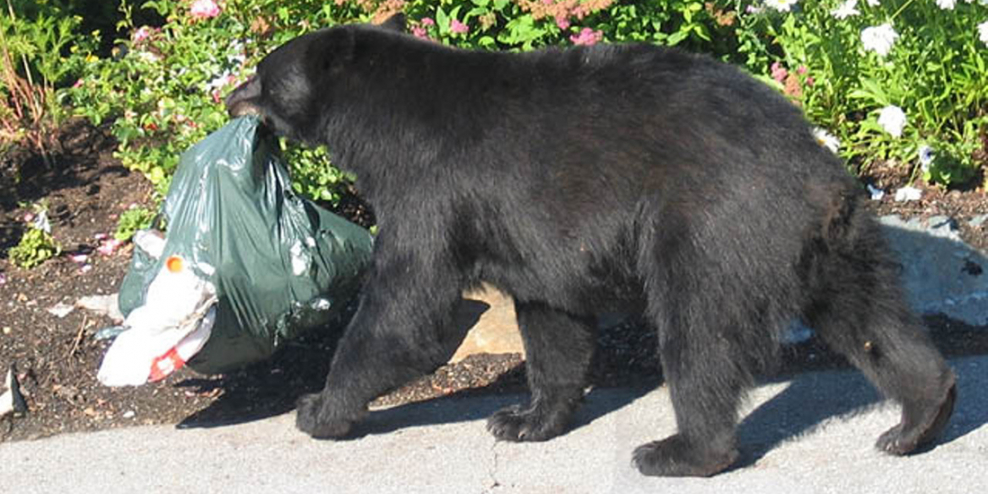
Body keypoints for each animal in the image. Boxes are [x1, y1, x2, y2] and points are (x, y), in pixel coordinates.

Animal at [226, 15, 956, 476]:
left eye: (261, 72)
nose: (229, 97)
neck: (377, 122)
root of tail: (816, 173)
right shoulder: (530, 232)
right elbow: (552, 318)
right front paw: (524, 417)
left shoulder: (429, 187)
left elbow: (405, 308)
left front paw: (318, 409)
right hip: (836, 248)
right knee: (873, 323)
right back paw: (919, 417)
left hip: (712, 231)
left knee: (700, 338)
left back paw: (681, 451)